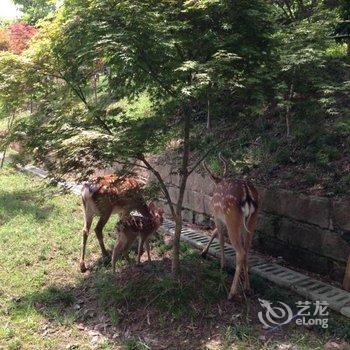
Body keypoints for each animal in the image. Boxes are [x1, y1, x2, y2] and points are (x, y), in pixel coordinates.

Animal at [201, 154, 258, 300]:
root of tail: (247, 193)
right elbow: (215, 233)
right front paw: (204, 252)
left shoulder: (217, 216)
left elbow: (219, 237)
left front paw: (221, 265)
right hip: (252, 220)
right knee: (246, 250)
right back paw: (247, 288)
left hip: (232, 218)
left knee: (240, 252)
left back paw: (232, 293)